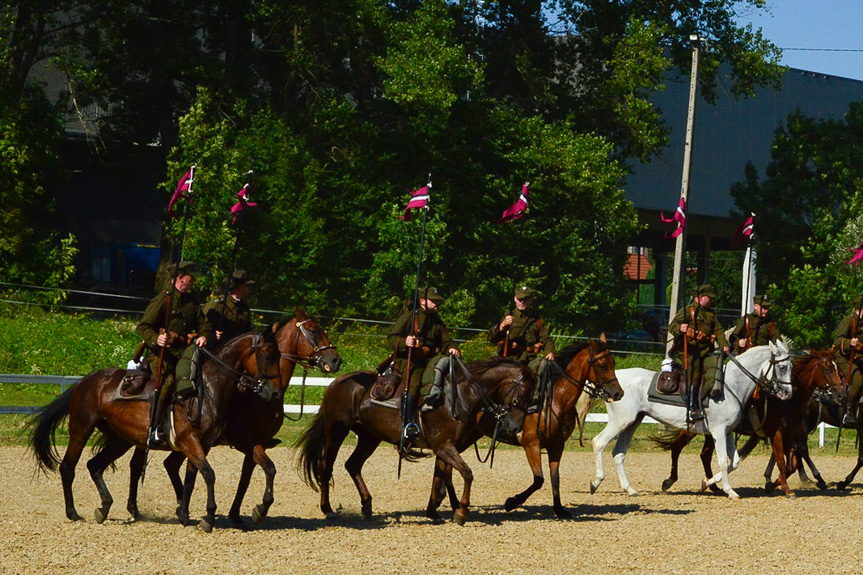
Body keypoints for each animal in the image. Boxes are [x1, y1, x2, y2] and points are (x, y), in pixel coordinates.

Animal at [126, 310, 342, 528]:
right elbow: (255, 474)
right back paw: (137, 509)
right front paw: (253, 510)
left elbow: (251, 477)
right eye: (313, 330)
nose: (335, 360)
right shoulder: (244, 442)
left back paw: (177, 508)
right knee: (138, 466)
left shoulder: (257, 443)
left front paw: (239, 514)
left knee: (170, 465)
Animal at [296, 360, 532, 528]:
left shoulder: (445, 448)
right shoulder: (444, 447)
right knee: (326, 466)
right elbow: (466, 474)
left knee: (353, 465)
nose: (516, 427)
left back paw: (367, 505)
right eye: (523, 391)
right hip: (336, 431)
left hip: (369, 437)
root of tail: (337, 381)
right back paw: (327, 509)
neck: (459, 399)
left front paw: (434, 512)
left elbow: (440, 478)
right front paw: (461, 511)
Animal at [430, 336, 620, 520]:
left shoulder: (556, 446)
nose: (618, 393)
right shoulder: (531, 444)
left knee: (444, 463)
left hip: (466, 437)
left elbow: (555, 478)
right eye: (602, 365)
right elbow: (538, 480)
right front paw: (511, 502)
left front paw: (559, 509)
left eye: (613, 363)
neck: (554, 401)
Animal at [592, 342, 792, 500]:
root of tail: (614, 381)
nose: (788, 393)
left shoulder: (727, 432)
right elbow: (722, 461)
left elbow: (734, 462)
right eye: (782, 367)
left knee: (619, 453)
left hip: (632, 423)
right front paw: (729, 491)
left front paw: (707, 483)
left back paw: (630, 489)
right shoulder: (718, 432)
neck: (731, 386)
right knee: (599, 443)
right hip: (620, 422)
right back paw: (595, 482)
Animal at [660, 348, 840, 498]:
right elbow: (783, 462)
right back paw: (670, 481)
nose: (840, 392)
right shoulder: (777, 434)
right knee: (677, 448)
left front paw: (772, 485)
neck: (787, 402)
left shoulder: (788, 436)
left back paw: (712, 485)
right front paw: (787, 488)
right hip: (695, 429)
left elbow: (791, 465)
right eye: (827, 369)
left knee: (704, 455)